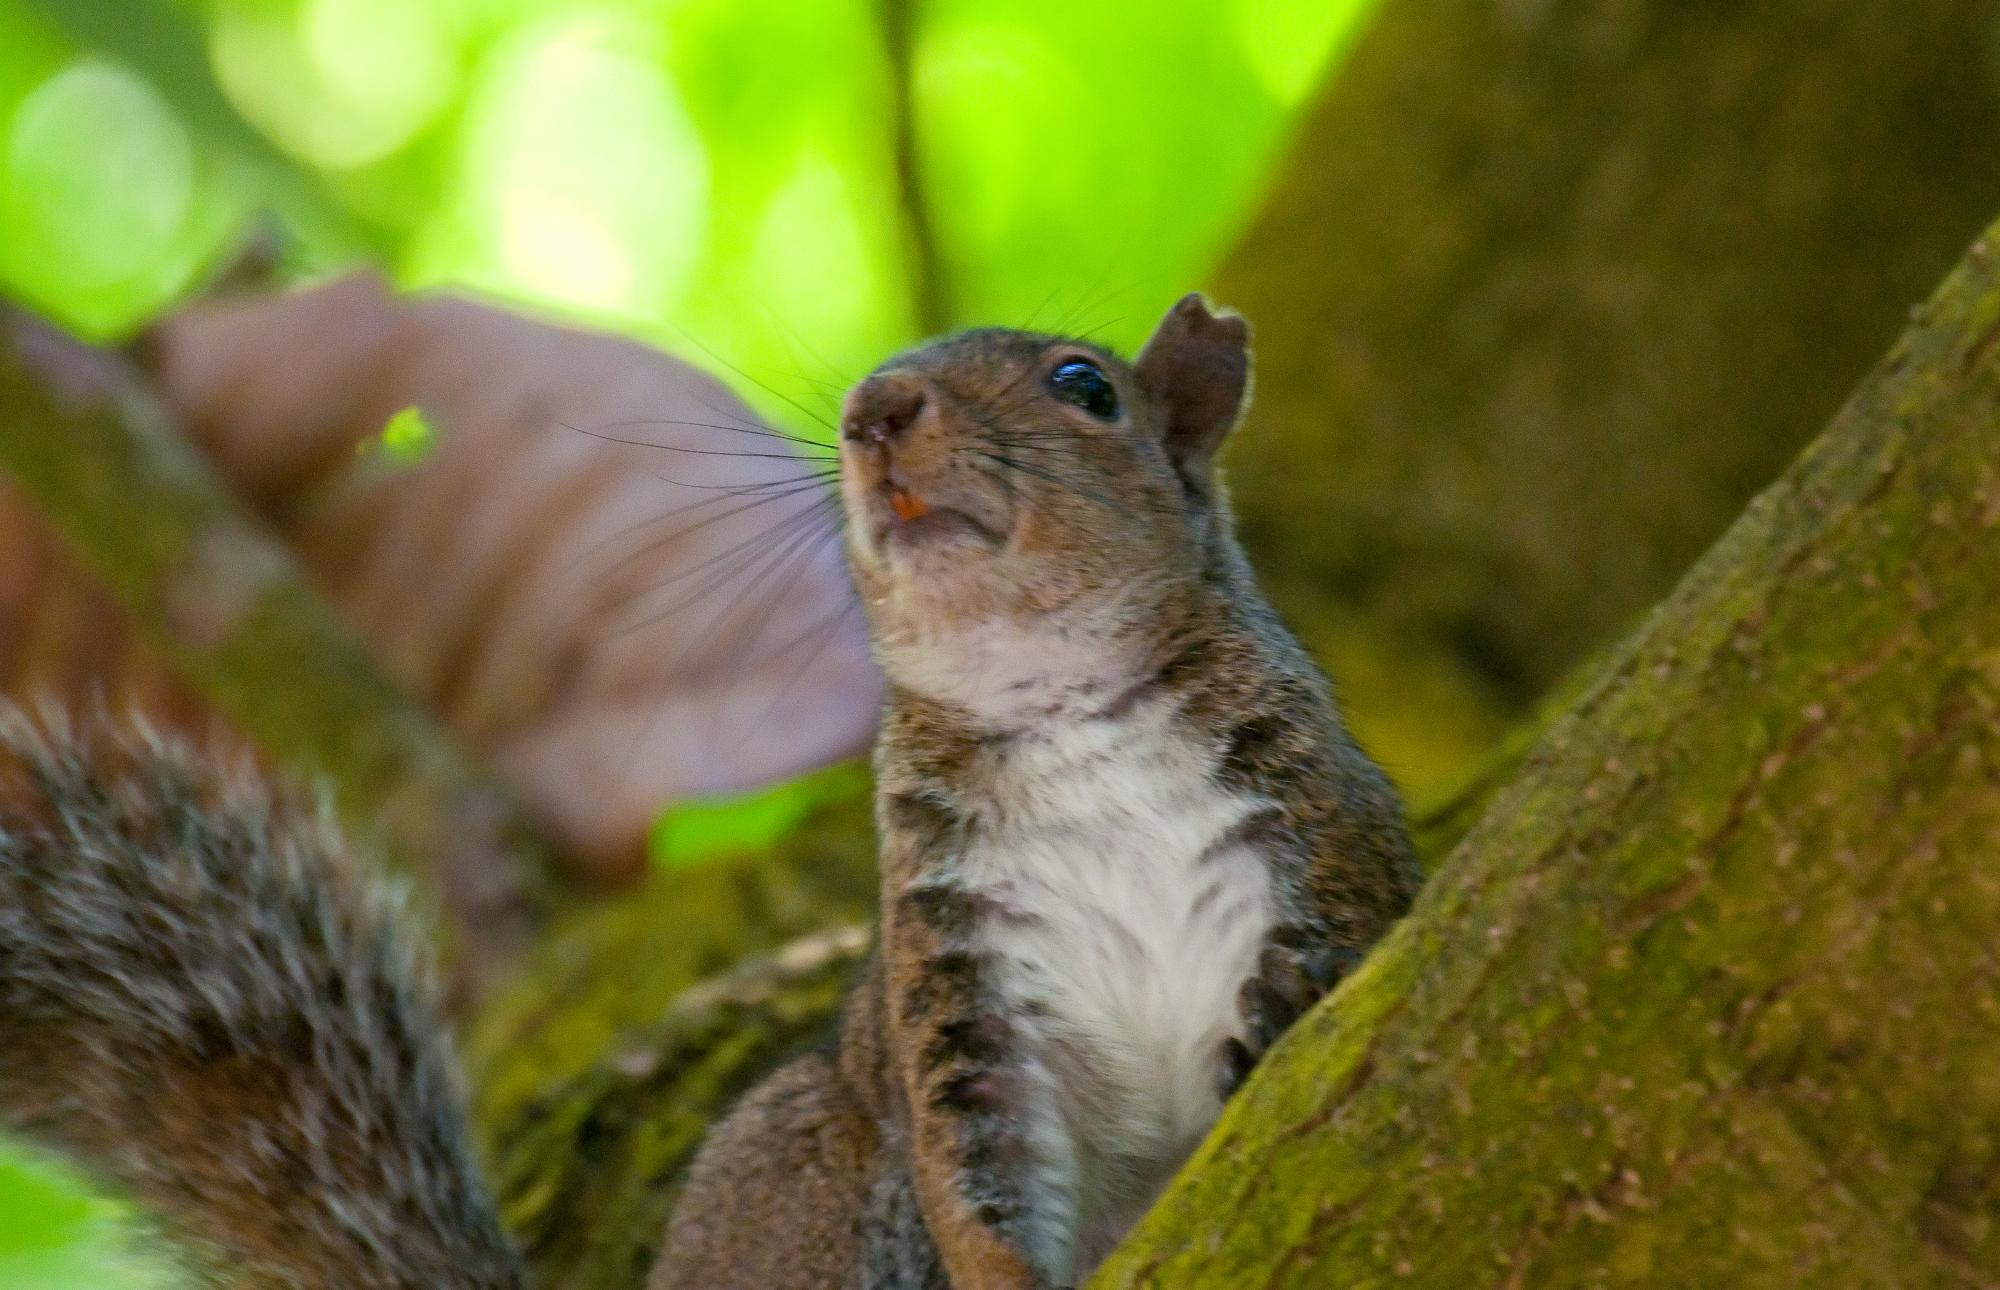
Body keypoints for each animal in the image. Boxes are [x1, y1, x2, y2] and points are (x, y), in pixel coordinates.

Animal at [0, 294, 1424, 1288]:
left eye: (1086, 387)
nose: (874, 407)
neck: (1058, 701)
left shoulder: (1321, 827)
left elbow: (1354, 928)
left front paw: (1285, 1002)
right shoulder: (955, 977)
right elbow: (976, 1186)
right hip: (804, 1162)